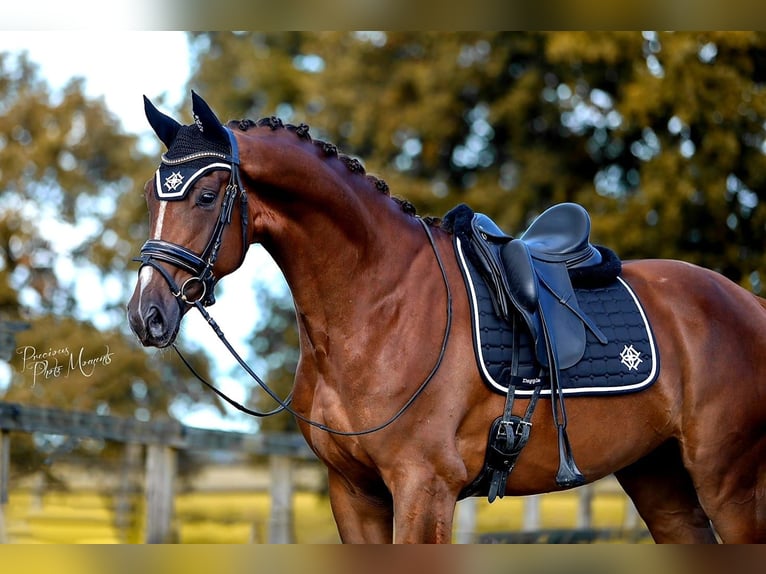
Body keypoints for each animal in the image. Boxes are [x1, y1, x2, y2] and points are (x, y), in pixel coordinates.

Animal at [127, 92, 766, 543]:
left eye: (206, 196)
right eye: (152, 196)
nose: (146, 314)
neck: (377, 306)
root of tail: (747, 302)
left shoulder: (423, 489)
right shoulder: (354, 494)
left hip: (729, 484)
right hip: (658, 477)